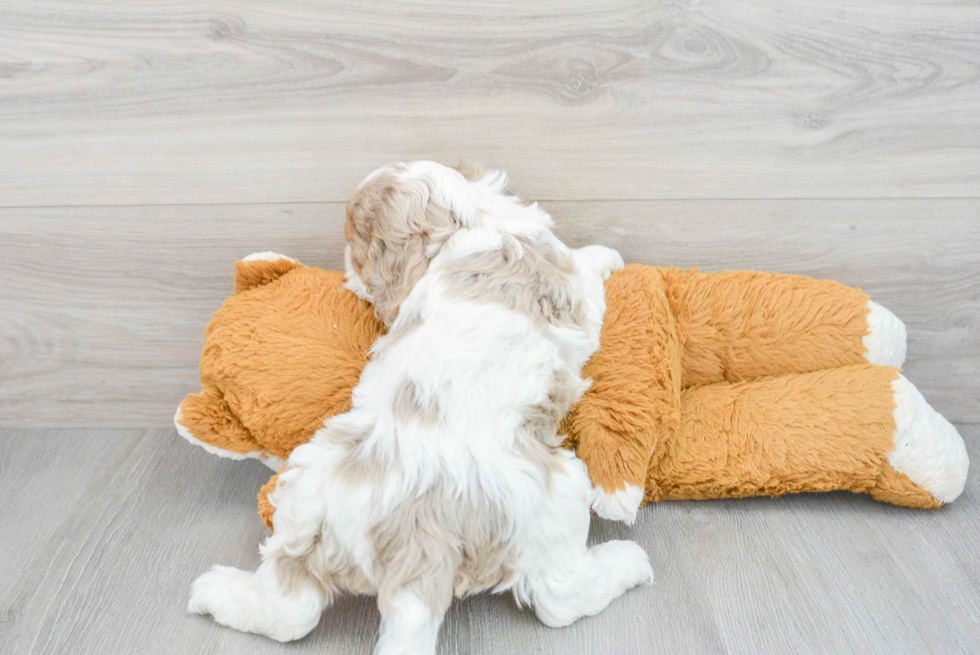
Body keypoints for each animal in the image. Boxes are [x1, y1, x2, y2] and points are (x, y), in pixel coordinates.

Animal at [188, 160, 656, 655]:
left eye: (356, 247)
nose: (346, 271)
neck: (469, 221)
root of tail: (416, 529)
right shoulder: (574, 290)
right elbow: (587, 268)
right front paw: (608, 254)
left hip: (309, 489)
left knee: (289, 606)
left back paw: (215, 593)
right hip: (555, 495)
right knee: (558, 598)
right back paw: (627, 563)